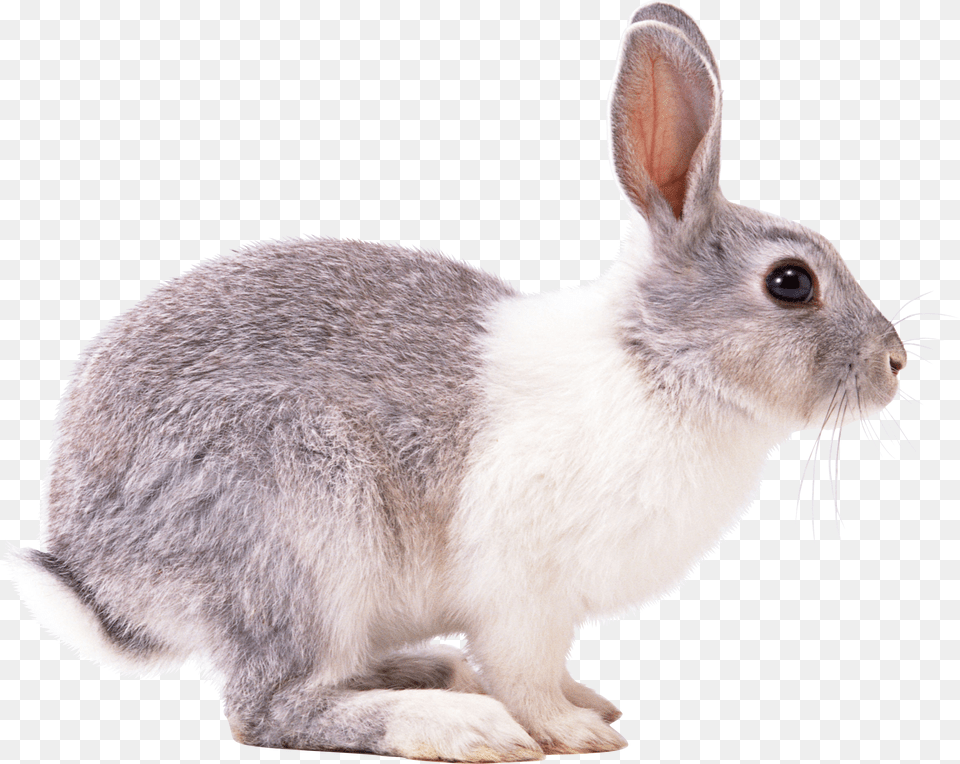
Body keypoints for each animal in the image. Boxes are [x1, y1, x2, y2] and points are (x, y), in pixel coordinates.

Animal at [12, 3, 906, 761]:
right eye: (791, 283)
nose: (898, 362)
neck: (660, 358)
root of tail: (100, 573)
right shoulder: (522, 591)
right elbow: (526, 670)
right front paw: (572, 730)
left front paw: (590, 701)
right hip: (300, 528)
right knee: (268, 705)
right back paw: (457, 723)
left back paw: (440, 675)